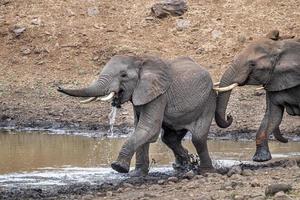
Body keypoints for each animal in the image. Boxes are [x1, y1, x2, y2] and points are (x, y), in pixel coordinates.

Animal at [57, 54, 217, 175]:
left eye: (123, 75)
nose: (58, 87)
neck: (140, 59)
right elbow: (140, 128)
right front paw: (137, 173)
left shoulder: (158, 95)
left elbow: (148, 128)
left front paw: (118, 167)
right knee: (169, 138)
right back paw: (184, 166)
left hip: (208, 102)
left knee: (198, 138)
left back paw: (205, 171)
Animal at [214, 34, 298, 162]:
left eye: (252, 64)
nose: (229, 116)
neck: (279, 48)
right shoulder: (273, 80)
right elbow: (273, 115)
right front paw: (260, 159)